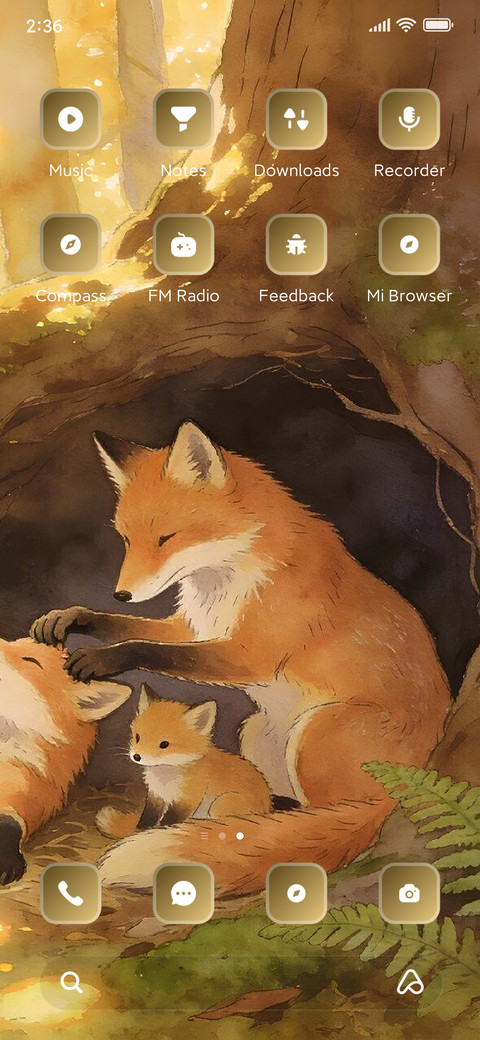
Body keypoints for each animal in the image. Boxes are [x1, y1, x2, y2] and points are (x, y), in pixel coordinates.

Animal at [96, 685, 272, 839]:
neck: (165, 777)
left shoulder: (187, 799)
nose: (137, 756)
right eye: (138, 737)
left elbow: (168, 822)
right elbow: (146, 818)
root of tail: (268, 806)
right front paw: (139, 832)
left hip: (220, 805)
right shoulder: (156, 796)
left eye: (164, 744)